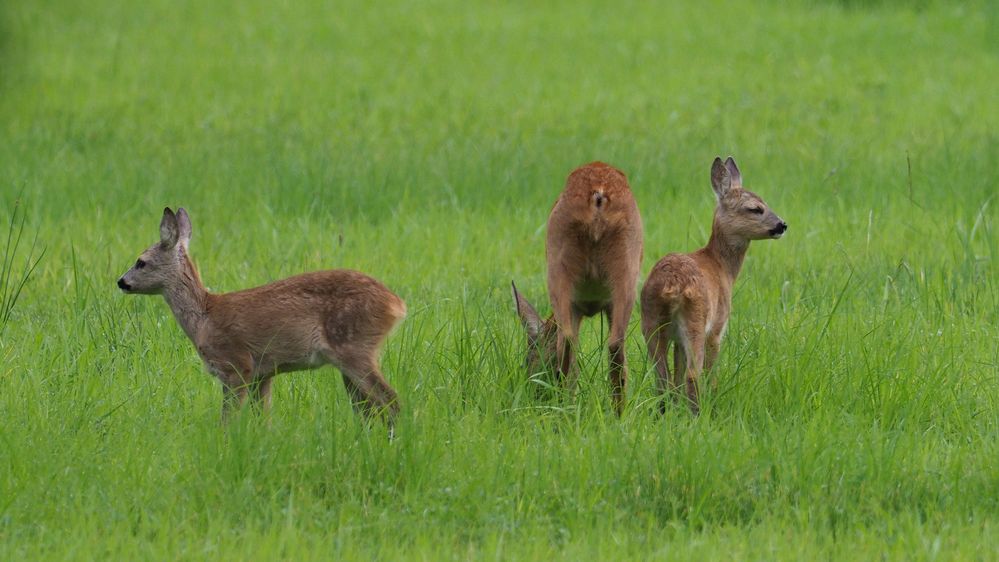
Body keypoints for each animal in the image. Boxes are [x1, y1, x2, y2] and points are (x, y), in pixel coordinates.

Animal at [120, 208, 406, 426]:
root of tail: (397, 304)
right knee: (369, 409)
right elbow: (263, 419)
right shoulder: (264, 373)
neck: (204, 318)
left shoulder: (237, 365)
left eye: (141, 261)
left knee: (391, 402)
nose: (121, 281)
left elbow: (228, 419)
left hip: (355, 347)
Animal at [512, 160, 644, 414]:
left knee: (579, 342)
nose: (533, 393)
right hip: (622, 268)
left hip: (566, 266)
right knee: (602, 344)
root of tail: (598, 195)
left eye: (527, 361)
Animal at [640, 155, 788, 414]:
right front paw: (713, 400)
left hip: (650, 322)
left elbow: (676, 374)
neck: (721, 267)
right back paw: (698, 413)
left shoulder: (676, 340)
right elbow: (710, 373)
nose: (782, 225)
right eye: (755, 208)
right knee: (692, 374)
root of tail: (670, 285)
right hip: (696, 321)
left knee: (662, 377)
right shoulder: (717, 328)